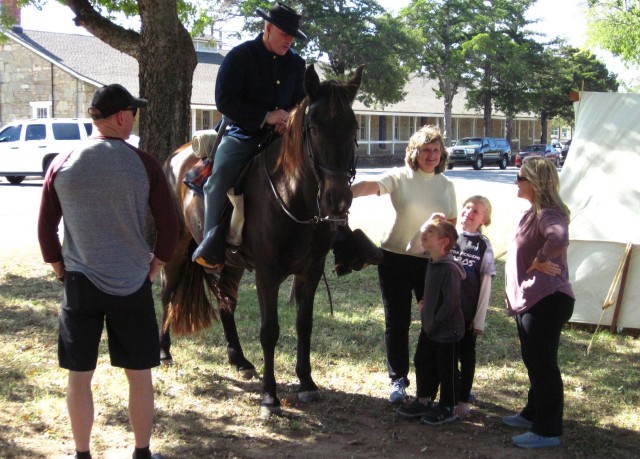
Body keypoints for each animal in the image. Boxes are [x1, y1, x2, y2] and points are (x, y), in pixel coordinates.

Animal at [159, 64, 362, 420]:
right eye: (313, 127)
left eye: (353, 127)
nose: (338, 200)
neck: (291, 194)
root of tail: (175, 156)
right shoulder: (268, 273)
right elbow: (270, 331)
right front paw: (270, 396)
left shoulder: (310, 270)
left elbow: (304, 324)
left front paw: (307, 383)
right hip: (177, 249)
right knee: (166, 292)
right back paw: (163, 353)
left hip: (230, 263)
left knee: (225, 302)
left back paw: (239, 360)